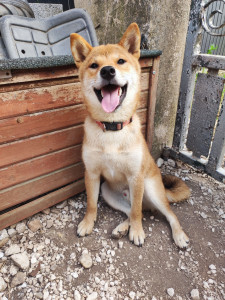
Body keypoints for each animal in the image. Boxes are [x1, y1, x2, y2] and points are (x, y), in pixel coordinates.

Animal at [70, 23, 190, 247]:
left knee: (163, 213)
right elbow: (91, 204)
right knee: (133, 210)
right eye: (94, 65)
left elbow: (136, 212)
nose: (107, 71)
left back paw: (178, 235)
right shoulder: (92, 174)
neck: (112, 127)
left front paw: (137, 232)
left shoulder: (136, 176)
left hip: (150, 189)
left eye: (120, 61)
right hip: (108, 192)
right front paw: (88, 223)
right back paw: (121, 228)